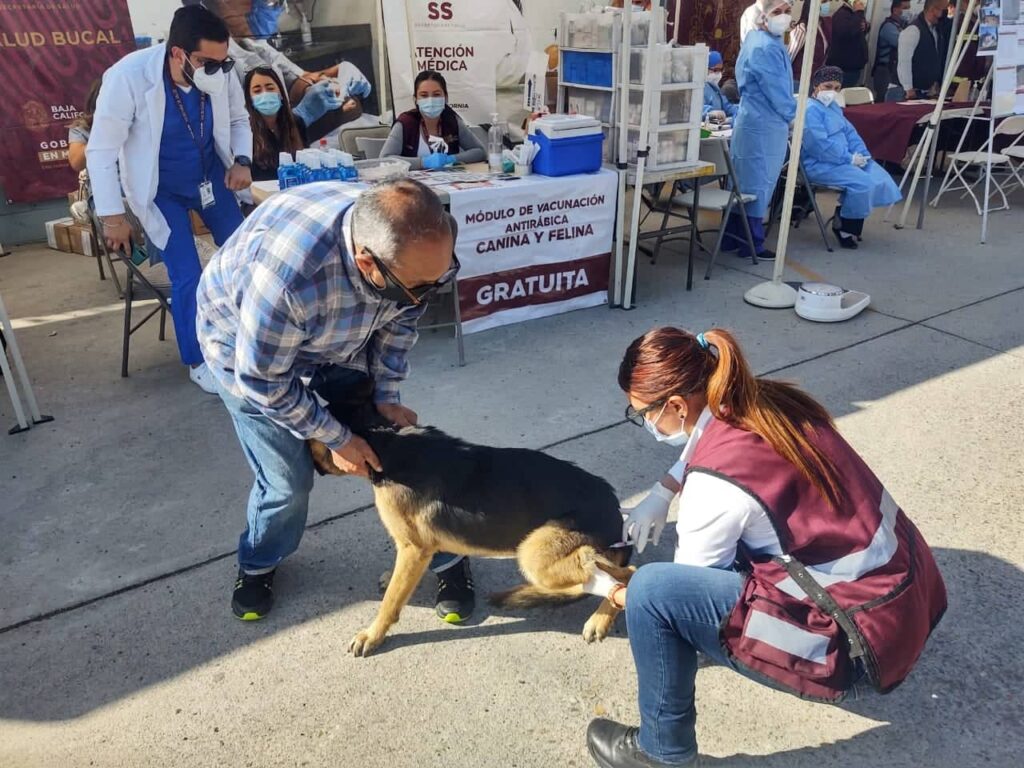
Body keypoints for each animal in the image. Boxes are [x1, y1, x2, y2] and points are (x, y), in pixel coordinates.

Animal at [307, 376, 634, 659]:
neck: (383, 438)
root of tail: (615, 512)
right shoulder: (413, 547)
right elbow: (397, 581)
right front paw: (390, 579)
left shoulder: (415, 549)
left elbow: (390, 602)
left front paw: (372, 635)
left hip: (533, 553)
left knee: (625, 574)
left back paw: (598, 618)